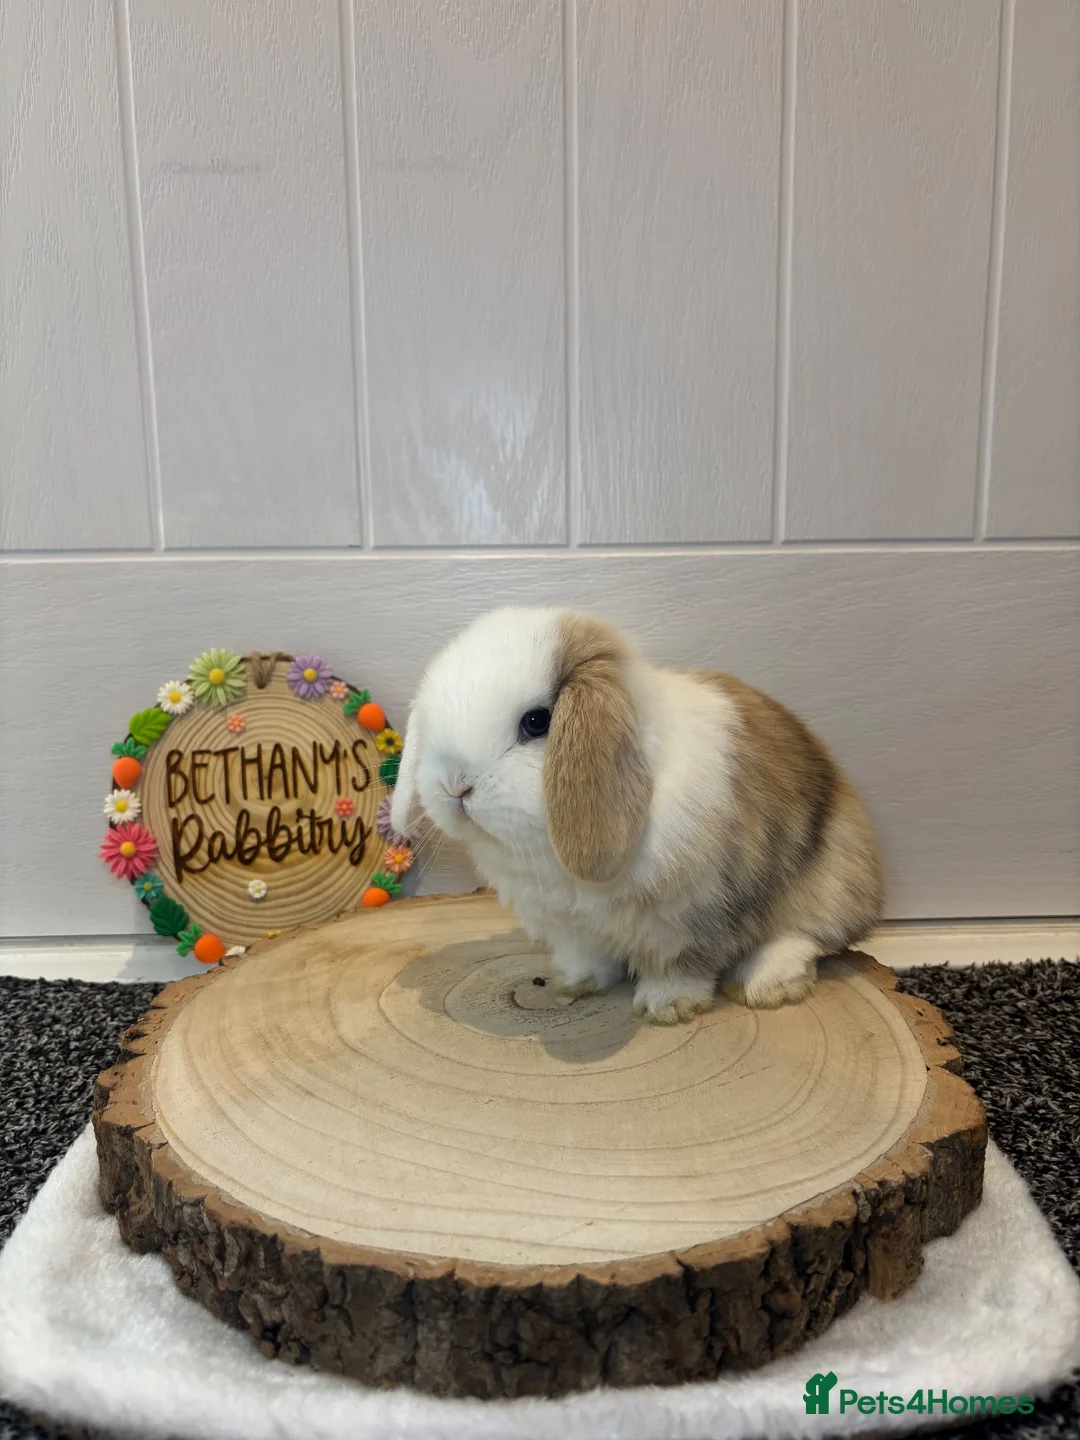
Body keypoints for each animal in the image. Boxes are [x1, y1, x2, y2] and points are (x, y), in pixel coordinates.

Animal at [390, 607, 883, 1024]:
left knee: (808, 937)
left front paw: (667, 1007)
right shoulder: (570, 925)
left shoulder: (692, 916)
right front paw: (573, 983)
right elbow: (586, 958)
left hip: (831, 881)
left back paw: (764, 984)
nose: (455, 786)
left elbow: (681, 967)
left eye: (536, 721)